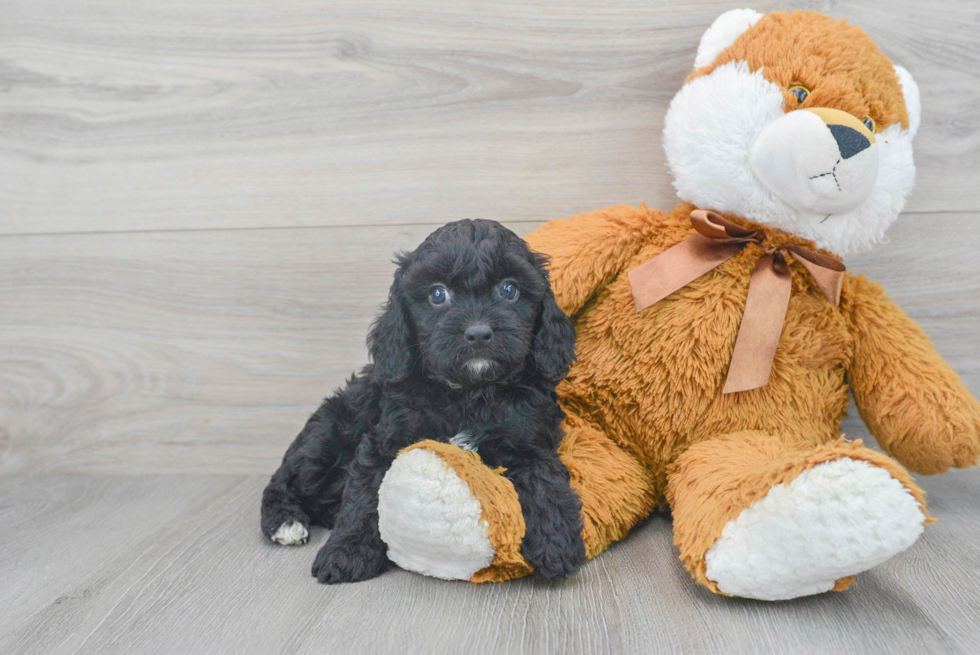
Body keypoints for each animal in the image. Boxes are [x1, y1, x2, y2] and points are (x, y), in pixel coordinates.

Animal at [260, 219, 584, 584]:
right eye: (437, 294)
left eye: (509, 290)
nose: (478, 332)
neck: (468, 392)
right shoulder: (382, 442)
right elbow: (364, 495)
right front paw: (346, 550)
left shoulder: (530, 439)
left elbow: (544, 479)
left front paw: (557, 543)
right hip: (325, 436)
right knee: (282, 480)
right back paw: (286, 522)